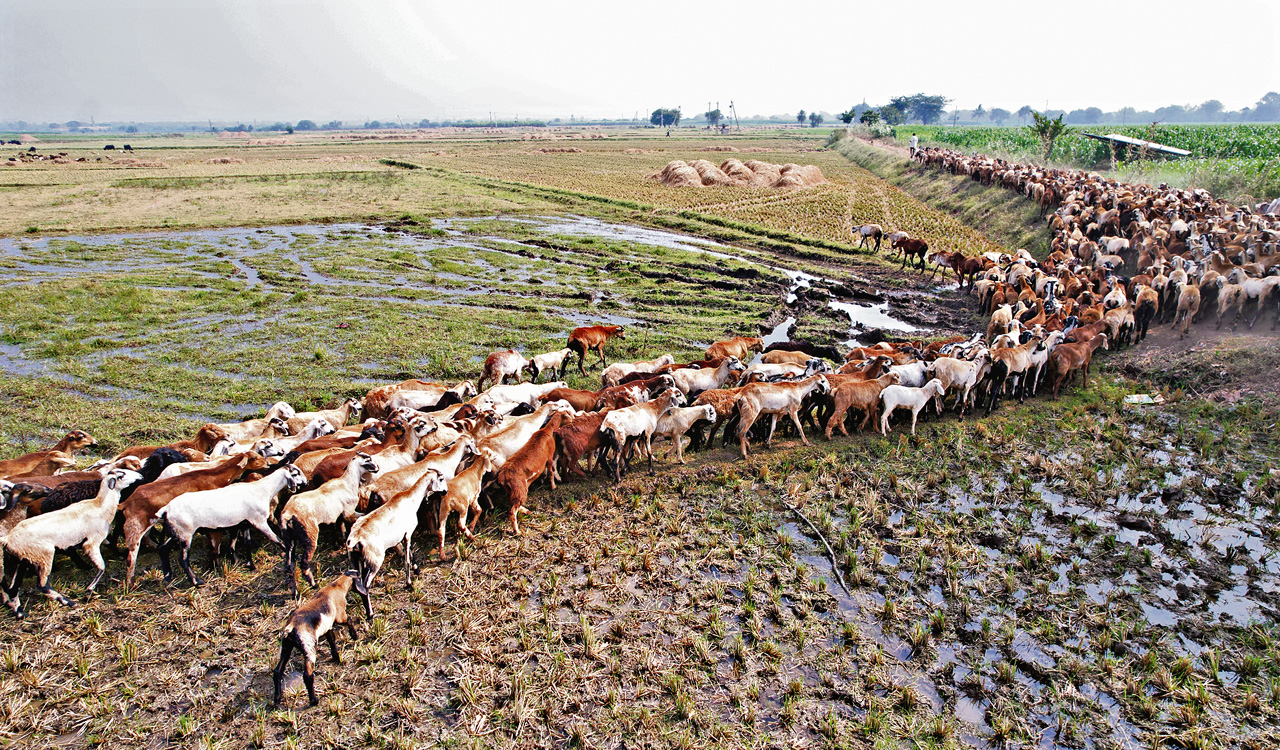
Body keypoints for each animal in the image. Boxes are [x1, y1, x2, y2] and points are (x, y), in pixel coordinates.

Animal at [0, 468, 141, 619]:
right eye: (122, 475)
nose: (140, 475)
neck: (100, 505)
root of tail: (8, 538)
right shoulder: (91, 544)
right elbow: (102, 567)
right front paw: (89, 590)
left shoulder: (99, 539)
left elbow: (109, 544)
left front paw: (121, 554)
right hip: (44, 555)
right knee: (43, 585)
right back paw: (69, 602)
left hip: (23, 559)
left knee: (13, 587)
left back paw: (20, 612)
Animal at [157, 465, 305, 587]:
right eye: (296, 473)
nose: (305, 482)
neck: (263, 489)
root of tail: (166, 509)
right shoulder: (259, 521)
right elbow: (277, 540)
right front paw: (293, 555)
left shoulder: (244, 523)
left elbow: (246, 543)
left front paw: (249, 564)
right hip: (186, 533)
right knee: (183, 559)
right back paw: (196, 581)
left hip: (177, 532)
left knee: (163, 548)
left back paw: (167, 576)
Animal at [272, 573, 360, 706]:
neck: (335, 587)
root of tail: (291, 627)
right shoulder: (340, 616)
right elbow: (349, 621)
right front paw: (354, 636)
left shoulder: (327, 627)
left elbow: (331, 639)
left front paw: (336, 656)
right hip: (309, 649)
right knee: (307, 675)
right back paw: (314, 700)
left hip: (286, 647)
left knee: (278, 671)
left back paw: (277, 697)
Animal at [281, 453, 378, 596]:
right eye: (368, 460)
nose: (377, 468)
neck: (347, 483)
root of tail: (287, 514)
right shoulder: (348, 513)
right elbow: (357, 519)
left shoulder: (338, 517)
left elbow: (341, 529)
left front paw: (340, 545)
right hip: (309, 534)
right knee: (304, 563)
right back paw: (313, 584)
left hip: (289, 538)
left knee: (290, 564)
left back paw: (295, 592)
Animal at [345, 469, 449, 616]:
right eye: (441, 479)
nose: (445, 491)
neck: (411, 499)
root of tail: (355, 539)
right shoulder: (408, 533)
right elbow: (407, 558)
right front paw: (409, 582)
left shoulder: (405, 536)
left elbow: (410, 553)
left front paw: (417, 570)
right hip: (375, 560)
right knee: (365, 586)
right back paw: (370, 614)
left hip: (357, 560)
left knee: (357, 585)